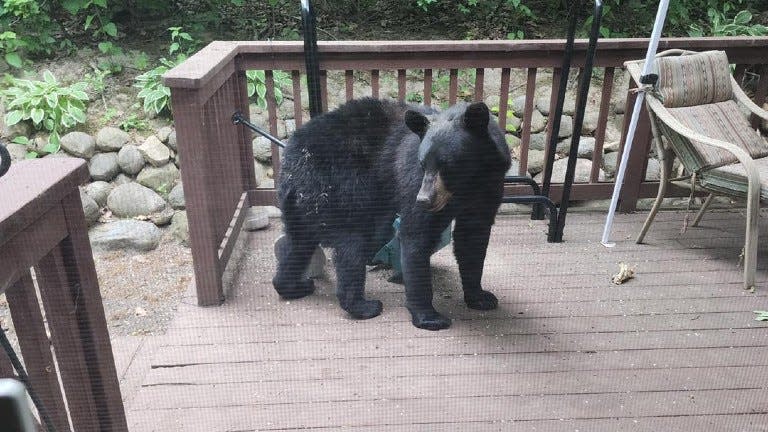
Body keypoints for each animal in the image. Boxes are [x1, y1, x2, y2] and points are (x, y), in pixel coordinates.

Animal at [272, 96, 512, 330]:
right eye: (423, 164)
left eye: (447, 165)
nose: (424, 199)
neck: (467, 186)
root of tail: (292, 158)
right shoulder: (413, 181)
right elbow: (416, 234)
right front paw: (429, 317)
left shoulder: (489, 187)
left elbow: (472, 238)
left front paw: (480, 297)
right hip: (339, 186)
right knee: (352, 243)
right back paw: (364, 306)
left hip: (302, 204)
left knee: (299, 243)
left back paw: (293, 286)